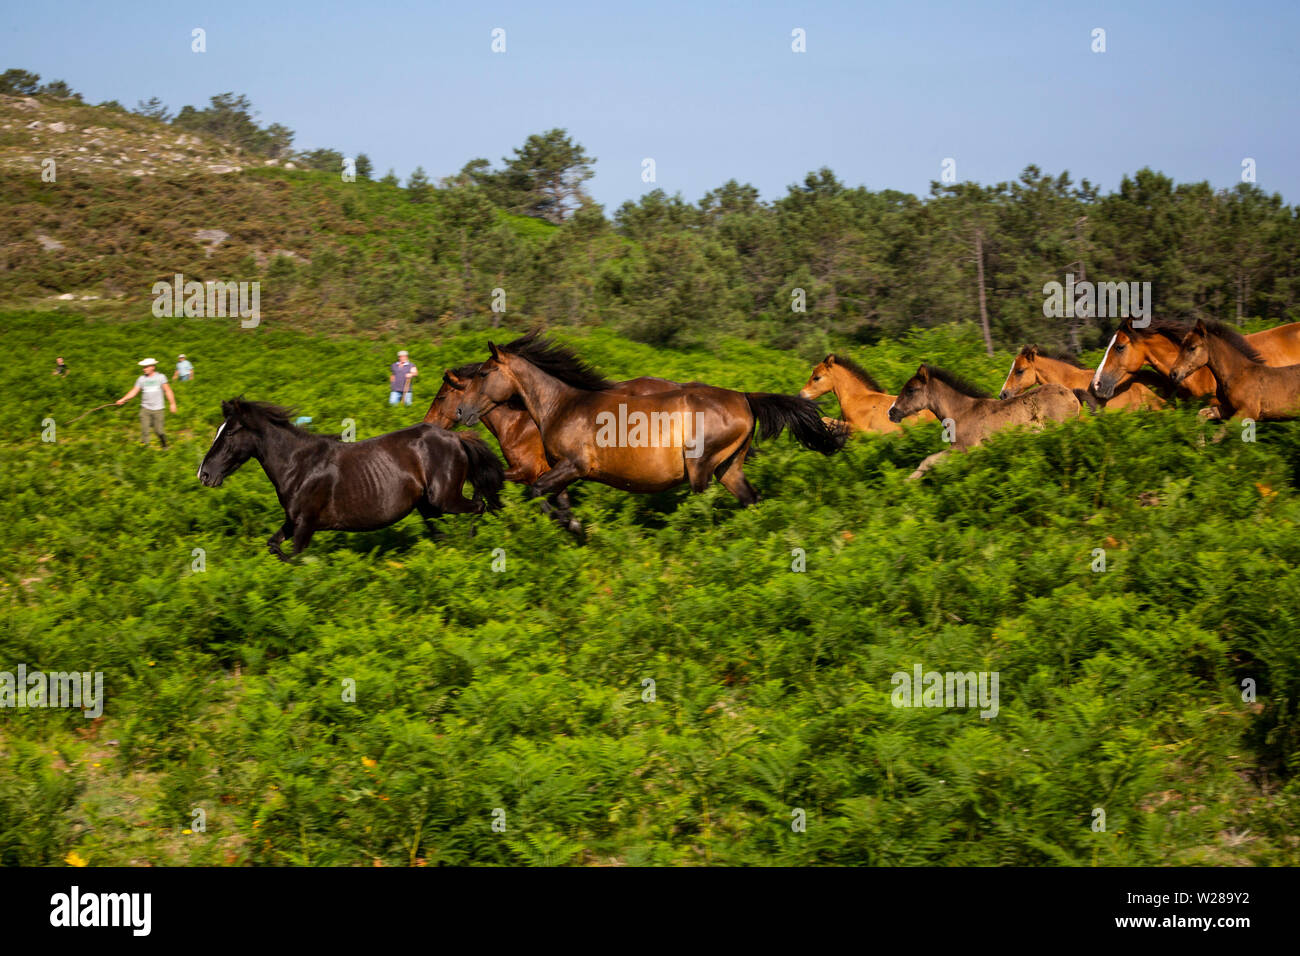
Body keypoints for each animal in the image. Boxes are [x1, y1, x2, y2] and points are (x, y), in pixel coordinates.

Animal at [197, 398, 505, 560]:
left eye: (229, 433)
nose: (204, 473)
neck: (299, 466)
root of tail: (456, 437)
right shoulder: (292, 521)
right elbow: (273, 545)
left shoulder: (306, 524)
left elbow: (295, 556)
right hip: (428, 507)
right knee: (445, 531)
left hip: (445, 499)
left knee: (479, 506)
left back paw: (472, 543)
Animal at [451, 331, 845, 511]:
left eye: (483, 373)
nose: (461, 413)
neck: (563, 404)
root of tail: (744, 398)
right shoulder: (558, 469)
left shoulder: (573, 466)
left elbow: (536, 492)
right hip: (729, 468)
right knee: (751, 500)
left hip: (700, 468)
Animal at [888, 364, 1083, 479]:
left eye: (911, 390)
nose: (891, 412)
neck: (962, 412)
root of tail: (1072, 395)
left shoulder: (964, 448)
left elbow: (928, 460)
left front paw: (906, 484)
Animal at [1169, 319, 1300, 421]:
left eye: (1192, 348)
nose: (1173, 374)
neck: (1237, 374)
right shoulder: (1227, 408)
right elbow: (1202, 415)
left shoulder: (1248, 412)